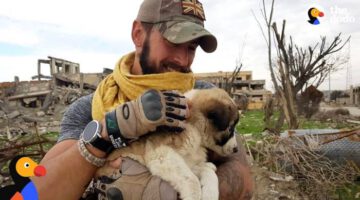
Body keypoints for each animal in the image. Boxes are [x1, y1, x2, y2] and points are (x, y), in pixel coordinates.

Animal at [95, 88, 239, 200]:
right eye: (231, 128)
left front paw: (210, 192)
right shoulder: (160, 154)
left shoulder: (185, 161)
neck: (194, 127)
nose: (236, 149)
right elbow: (191, 179)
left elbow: (206, 172)